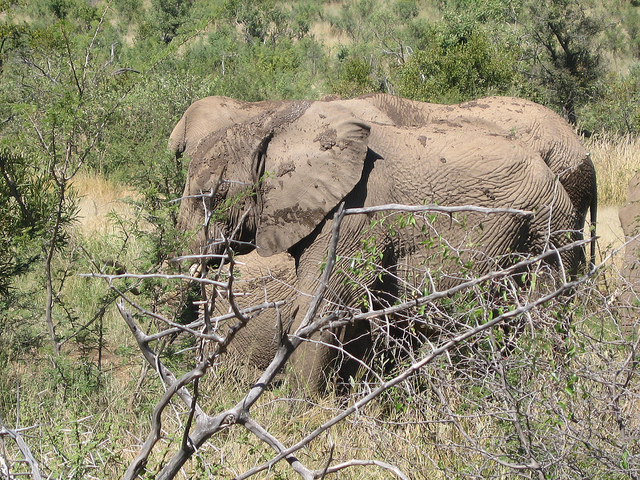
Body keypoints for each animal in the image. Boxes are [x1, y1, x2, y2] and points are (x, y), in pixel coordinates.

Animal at [173, 96, 586, 393]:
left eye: (212, 197)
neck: (277, 123)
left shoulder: (355, 214)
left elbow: (325, 310)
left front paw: (293, 416)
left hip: (535, 226)